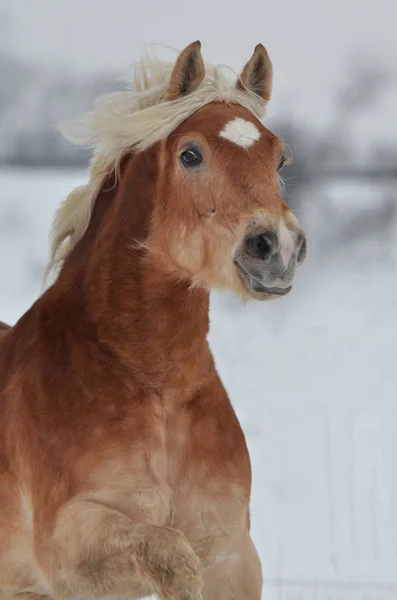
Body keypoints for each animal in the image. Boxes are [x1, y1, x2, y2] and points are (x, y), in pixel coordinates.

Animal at [0, 42, 306, 600]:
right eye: (190, 154)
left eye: (279, 157)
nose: (277, 248)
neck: (151, 384)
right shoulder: (68, 547)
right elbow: (171, 555)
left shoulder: (231, 551)